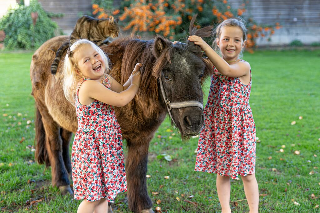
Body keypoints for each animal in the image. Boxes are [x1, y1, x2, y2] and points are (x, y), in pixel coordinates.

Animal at [30, 19, 212, 212]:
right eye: (167, 75)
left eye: (200, 74)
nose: (193, 121)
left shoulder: (142, 138)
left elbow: (137, 169)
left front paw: (142, 206)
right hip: (47, 115)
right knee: (54, 144)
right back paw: (62, 182)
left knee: (64, 140)